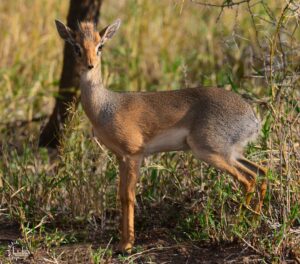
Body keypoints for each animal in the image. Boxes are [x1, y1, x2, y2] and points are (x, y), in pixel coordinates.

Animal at [54, 19, 268, 254]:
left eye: (100, 45)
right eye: (76, 47)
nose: (90, 65)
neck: (105, 107)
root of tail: (253, 119)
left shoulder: (134, 155)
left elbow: (129, 196)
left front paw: (127, 245)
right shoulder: (121, 157)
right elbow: (120, 196)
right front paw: (122, 242)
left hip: (211, 152)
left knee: (248, 179)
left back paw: (238, 226)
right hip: (232, 153)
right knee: (261, 172)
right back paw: (253, 222)